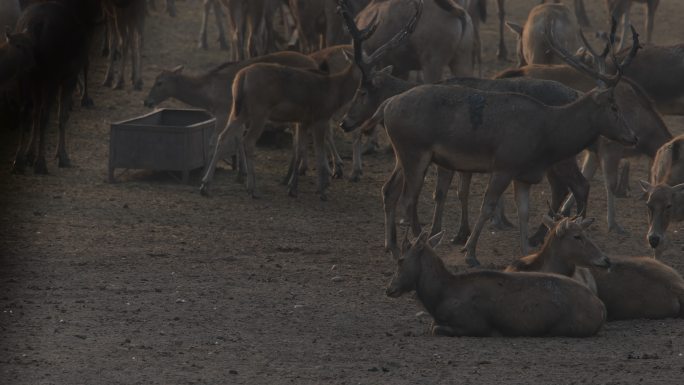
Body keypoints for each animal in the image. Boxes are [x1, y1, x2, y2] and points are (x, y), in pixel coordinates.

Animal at [372, 23, 640, 268]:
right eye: (614, 107)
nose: (633, 137)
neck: (547, 134)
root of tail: (386, 106)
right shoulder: (504, 166)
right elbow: (487, 207)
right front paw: (470, 253)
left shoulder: (524, 175)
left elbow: (524, 212)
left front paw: (527, 251)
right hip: (415, 152)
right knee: (408, 199)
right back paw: (416, 242)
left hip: (402, 154)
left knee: (389, 189)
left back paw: (391, 245)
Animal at [388, 231, 608, 336]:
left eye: (400, 260)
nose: (390, 288)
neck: (439, 296)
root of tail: (601, 307)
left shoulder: (475, 325)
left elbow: (435, 329)